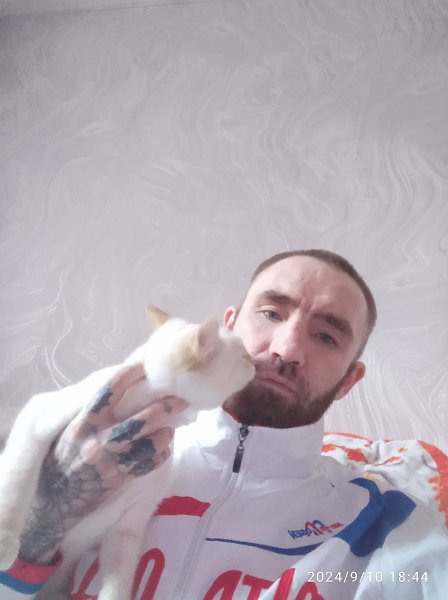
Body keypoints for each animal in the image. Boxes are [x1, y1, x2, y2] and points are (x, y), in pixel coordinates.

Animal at [0, 306, 255, 600]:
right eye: (244, 356)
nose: (255, 362)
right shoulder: (38, 414)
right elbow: (17, 481)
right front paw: (5, 543)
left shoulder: (127, 528)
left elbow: (118, 587)